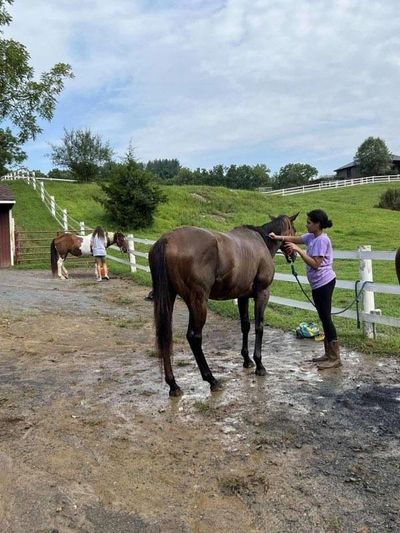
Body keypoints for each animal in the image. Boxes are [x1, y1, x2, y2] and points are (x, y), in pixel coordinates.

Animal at [148, 212, 298, 394]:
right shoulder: (262, 293)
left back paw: (173, 385)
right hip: (198, 301)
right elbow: (259, 327)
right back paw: (212, 380)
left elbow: (245, 326)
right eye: (293, 230)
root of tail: (166, 239)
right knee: (194, 337)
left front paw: (247, 360)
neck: (260, 241)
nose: (294, 255)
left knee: (165, 335)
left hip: (169, 298)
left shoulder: (242, 296)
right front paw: (259, 364)